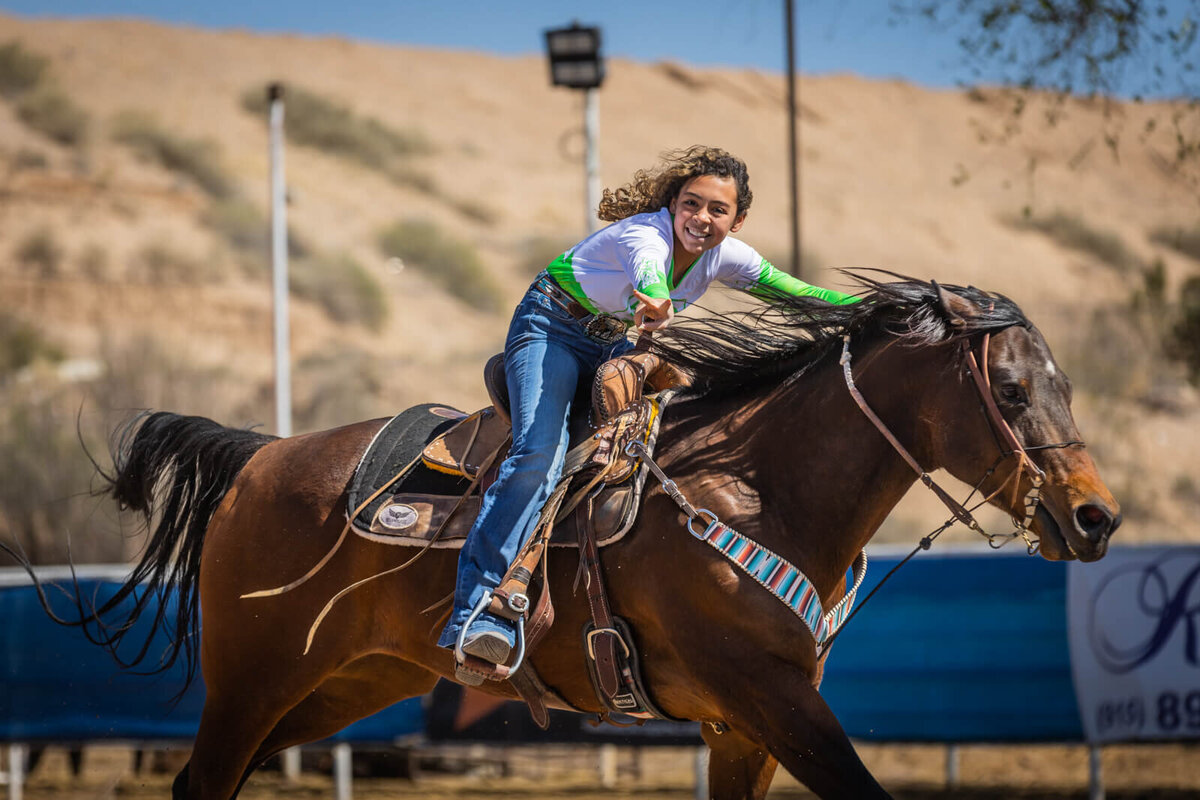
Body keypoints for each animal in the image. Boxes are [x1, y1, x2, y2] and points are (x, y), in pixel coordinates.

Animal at [30, 277, 1113, 800]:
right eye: (1012, 389)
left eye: (1063, 381)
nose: (1096, 516)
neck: (759, 487)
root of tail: (260, 459)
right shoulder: (775, 700)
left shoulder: (742, 727)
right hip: (252, 681)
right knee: (203, 780)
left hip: (331, 688)